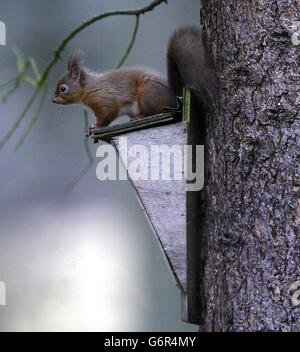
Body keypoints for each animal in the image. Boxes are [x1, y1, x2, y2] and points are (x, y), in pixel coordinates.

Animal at [51, 26, 216, 135]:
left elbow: (108, 113)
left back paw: (141, 116)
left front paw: (95, 126)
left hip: (147, 94)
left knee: (155, 110)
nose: (53, 100)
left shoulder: (105, 99)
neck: (90, 87)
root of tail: (175, 97)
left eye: (63, 88)